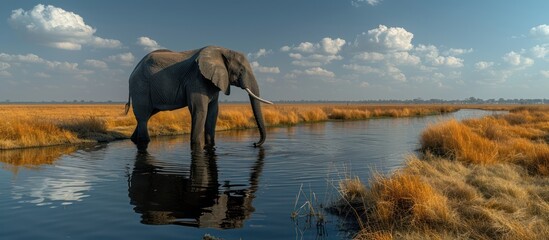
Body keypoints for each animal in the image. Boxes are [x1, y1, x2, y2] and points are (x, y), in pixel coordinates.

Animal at [123, 45, 270, 152]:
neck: (222, 50)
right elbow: (199, 110)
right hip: (140, 87)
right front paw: (197, 146)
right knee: (143, 116)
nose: (254, 144)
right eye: (241, 71)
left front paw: (210, 146)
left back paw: (134, 139)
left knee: (146, 116)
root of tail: (132, 71)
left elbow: (213, 112)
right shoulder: (196, 80)